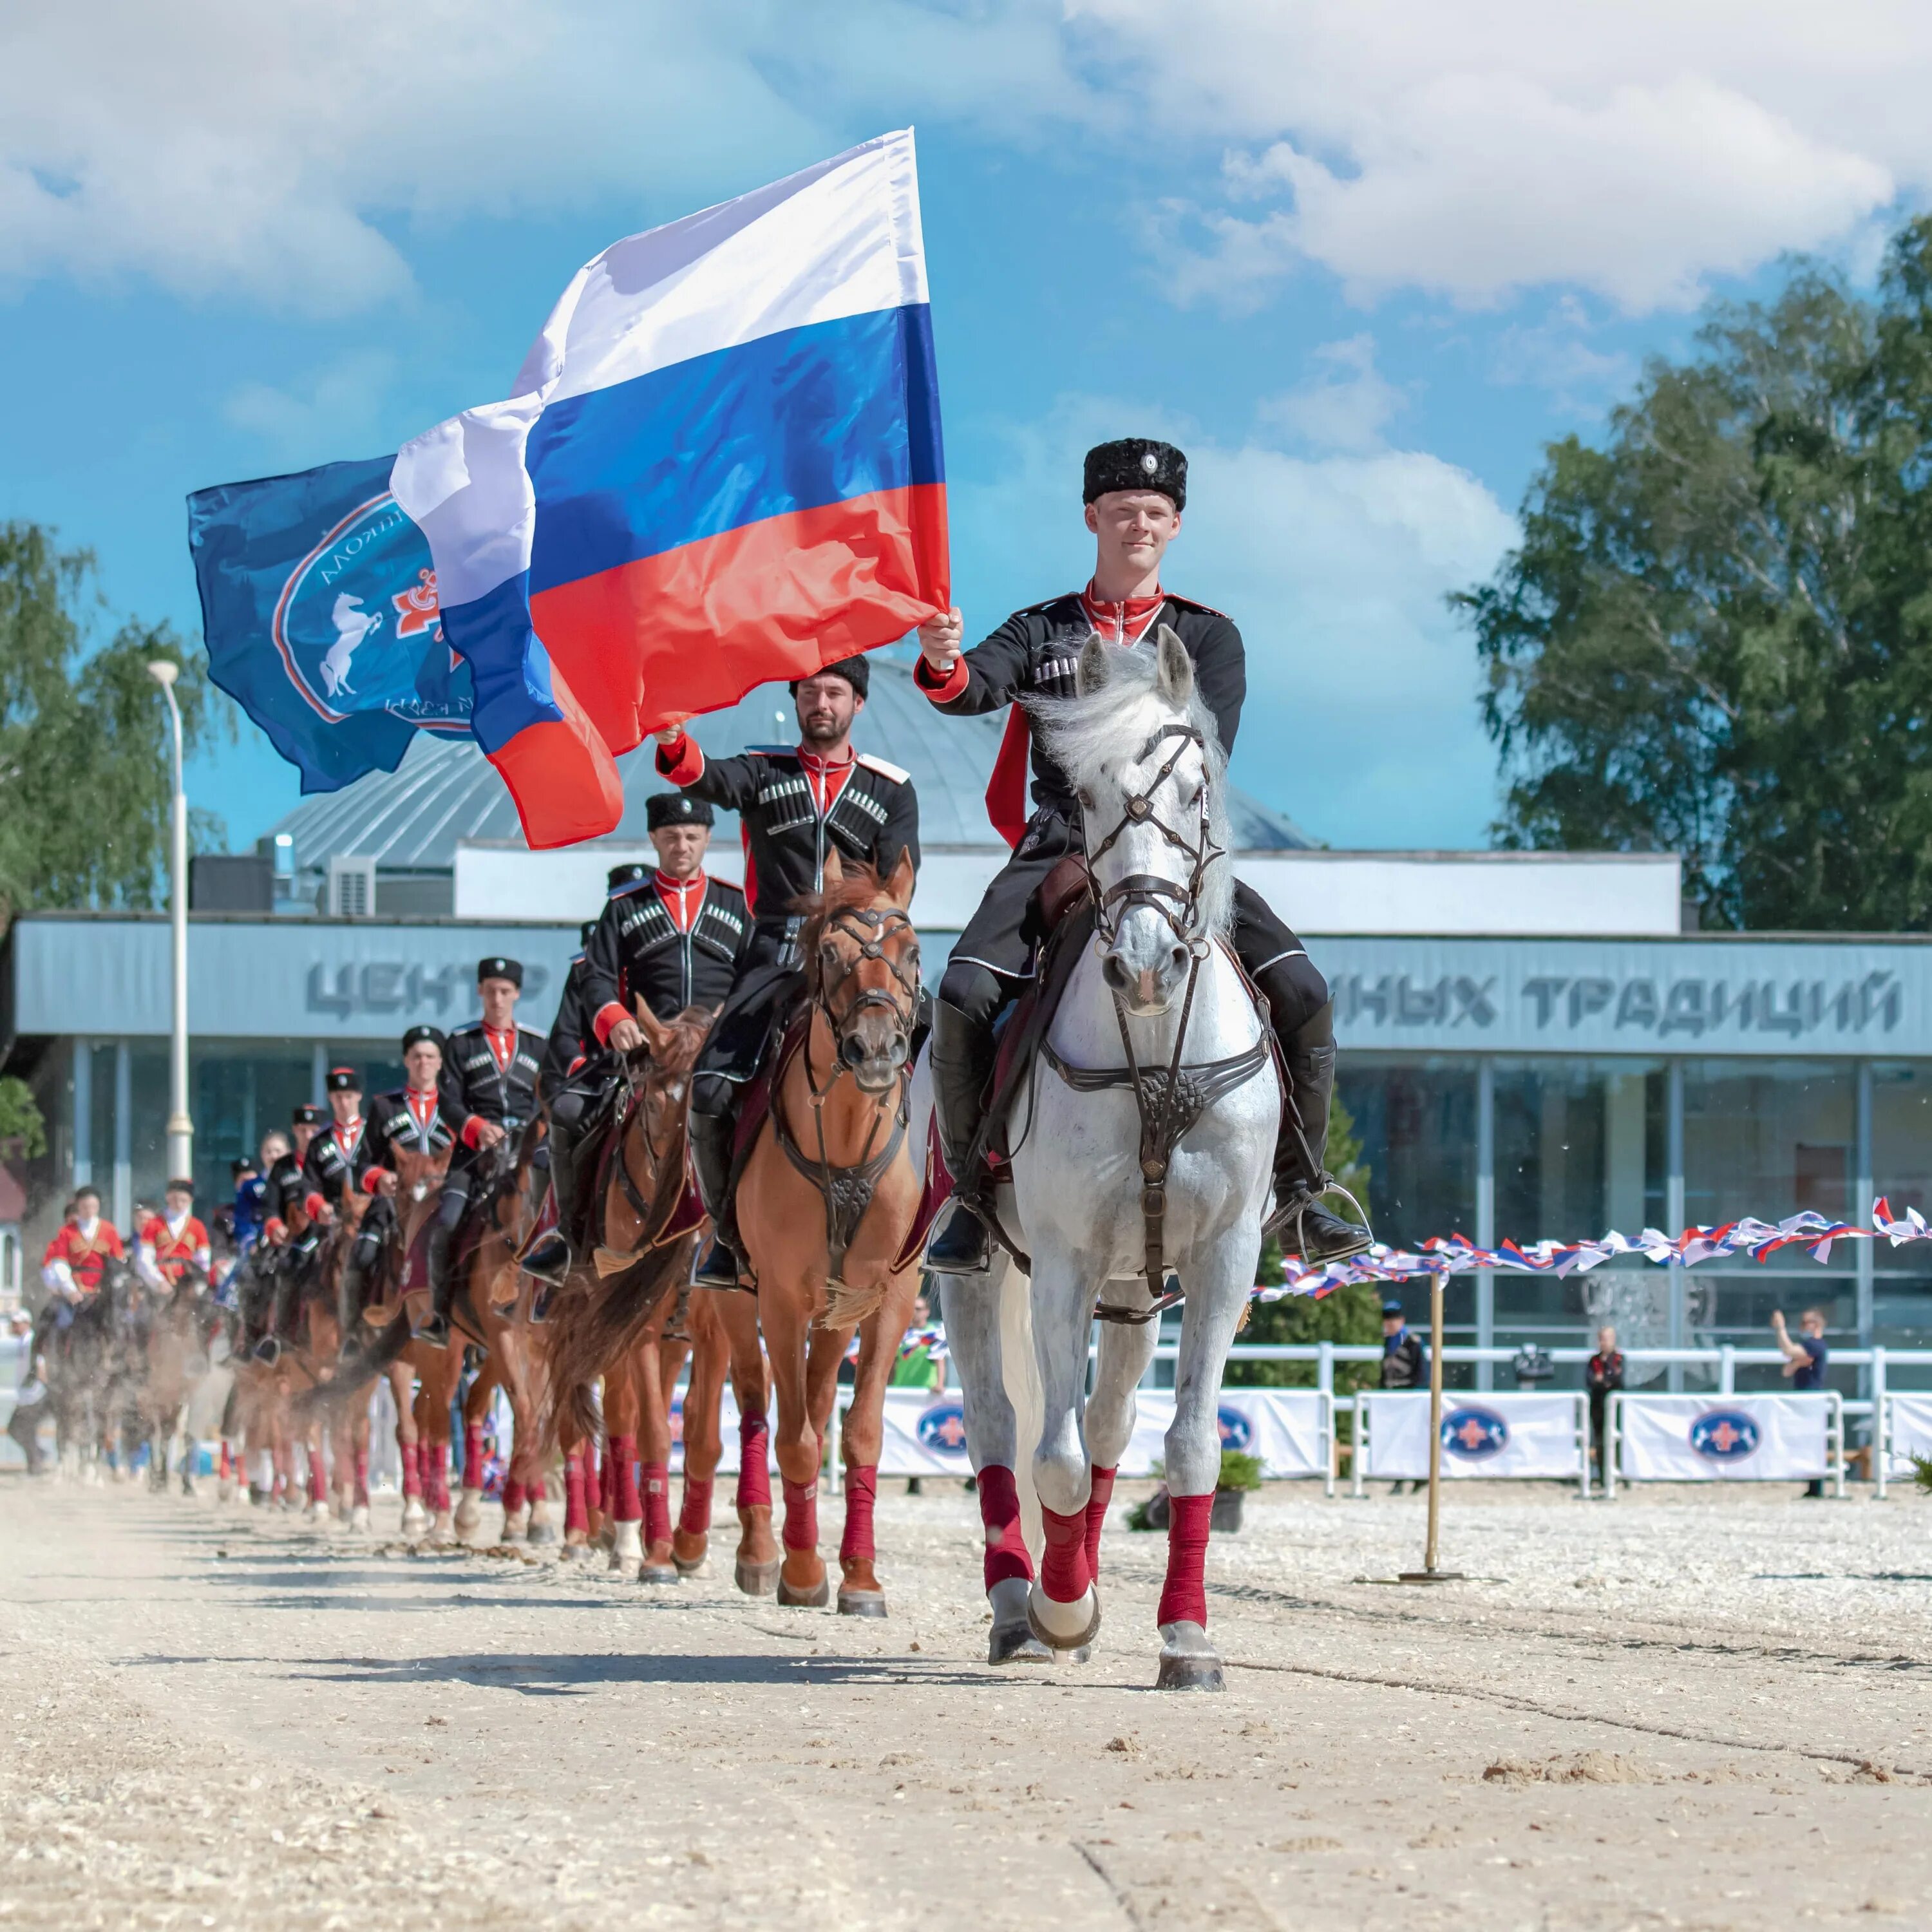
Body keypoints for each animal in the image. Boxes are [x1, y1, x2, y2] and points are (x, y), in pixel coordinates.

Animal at [939, 634, 1275, 1692]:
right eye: (1083, 796)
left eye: (1196, 791)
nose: (1145, 964)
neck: (1158, 1043)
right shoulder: (1063, 1259)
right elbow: (1048, 1453)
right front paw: (1062, 1608)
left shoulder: (1221, 1260)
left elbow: (1189, 1446)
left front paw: (1187, 1638)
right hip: (980, 1270)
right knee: (1000, 1425)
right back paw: (1022, 1604)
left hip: (1134, 1287)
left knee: (1110, 1429)